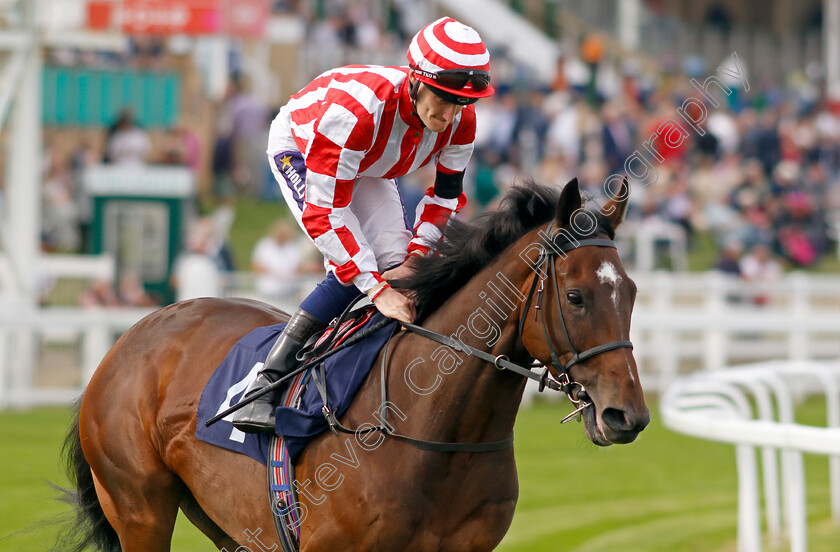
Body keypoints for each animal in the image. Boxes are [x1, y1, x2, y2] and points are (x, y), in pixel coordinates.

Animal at [59, 179, 648, 548]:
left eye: (633, 292)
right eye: (575, 296)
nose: (628, 416)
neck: (435, 433)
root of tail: (130, 337)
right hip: (139, 508)